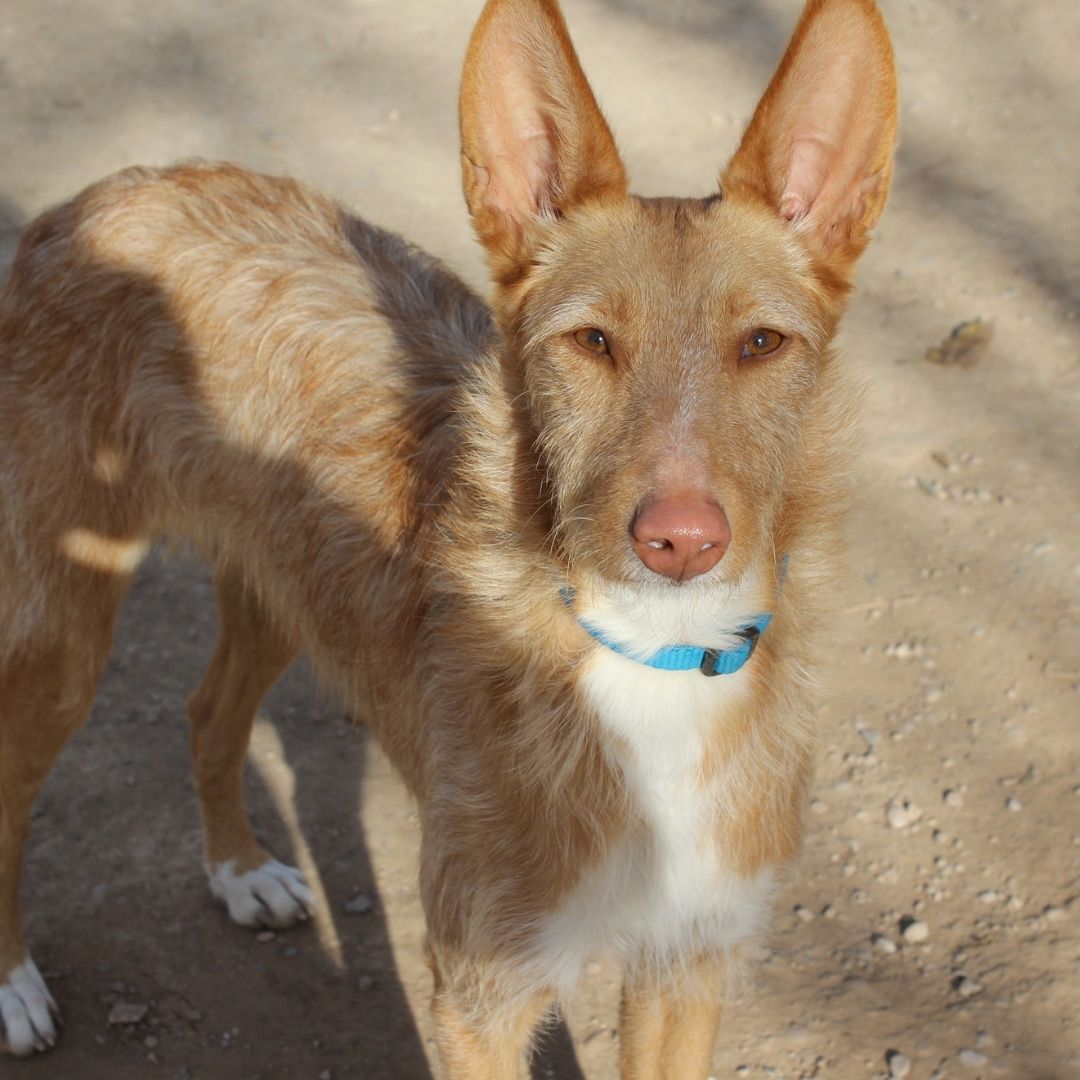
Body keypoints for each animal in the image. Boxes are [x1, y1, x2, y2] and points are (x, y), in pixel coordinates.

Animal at [0, 0, 894, 1071]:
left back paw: (240, 869)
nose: (680, 540)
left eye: (762, 343)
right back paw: (12, 984)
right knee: (13, 788)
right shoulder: (481, 992)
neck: (649, 655)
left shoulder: (685, 967)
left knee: (209, 710)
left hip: (282, 586)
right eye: (590, 341)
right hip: (62, 633)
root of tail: (103, 193)